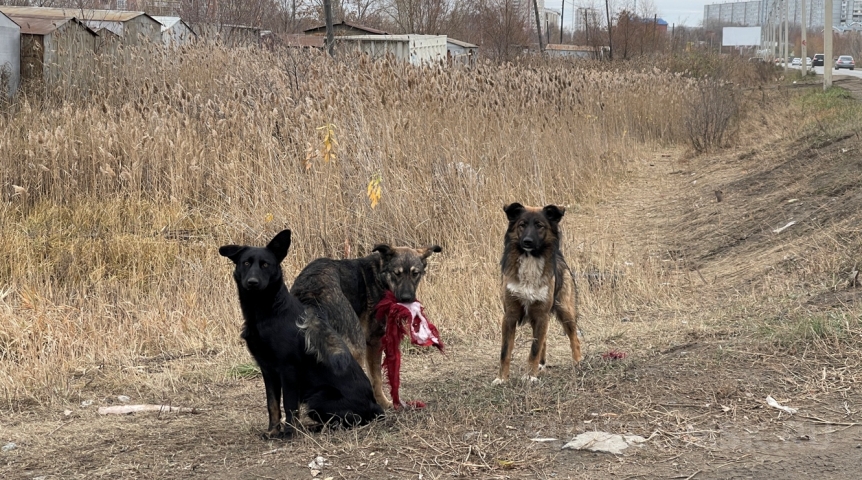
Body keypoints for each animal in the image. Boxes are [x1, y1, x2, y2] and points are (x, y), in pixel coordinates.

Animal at [221, 231, 384, 436]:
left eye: (265, 264)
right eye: (246, 263)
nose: (252, 283)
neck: (267, 312)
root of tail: (375, 405)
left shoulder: (288, 369)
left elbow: (289, 405)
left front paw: (289, 433)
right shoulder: (267, 370)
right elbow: (272, 404)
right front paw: (273, 431)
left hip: (318, 397)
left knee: (348, 420)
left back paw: (316, 428)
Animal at [496, 202, 584, 382]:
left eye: (539, 226)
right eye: (522, 225)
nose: (527, 241)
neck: (530, 259)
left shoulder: (542, 313)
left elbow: (534, 348)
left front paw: (530, 376)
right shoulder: (510, 315)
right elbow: (505, 351)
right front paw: (502, 378)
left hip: (564, 310)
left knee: (574, 337)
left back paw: (578, 362)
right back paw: (541, 365)